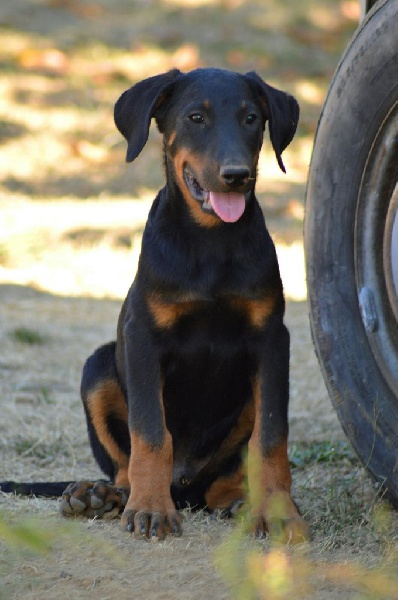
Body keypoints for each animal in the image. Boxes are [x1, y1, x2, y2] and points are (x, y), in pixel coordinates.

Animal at [0, 70, 310, 544]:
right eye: (195, 117)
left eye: (252, 119)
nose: (235, 175)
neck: (210, 242)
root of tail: (184, 485)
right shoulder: (143, 336)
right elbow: (149, 431)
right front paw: (150, 509)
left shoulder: (272, 339)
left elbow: (271, 436)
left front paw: (278, 512)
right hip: (98, 366)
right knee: (124, 467)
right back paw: (102, 495)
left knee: (222, 481)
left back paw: (239, 502)